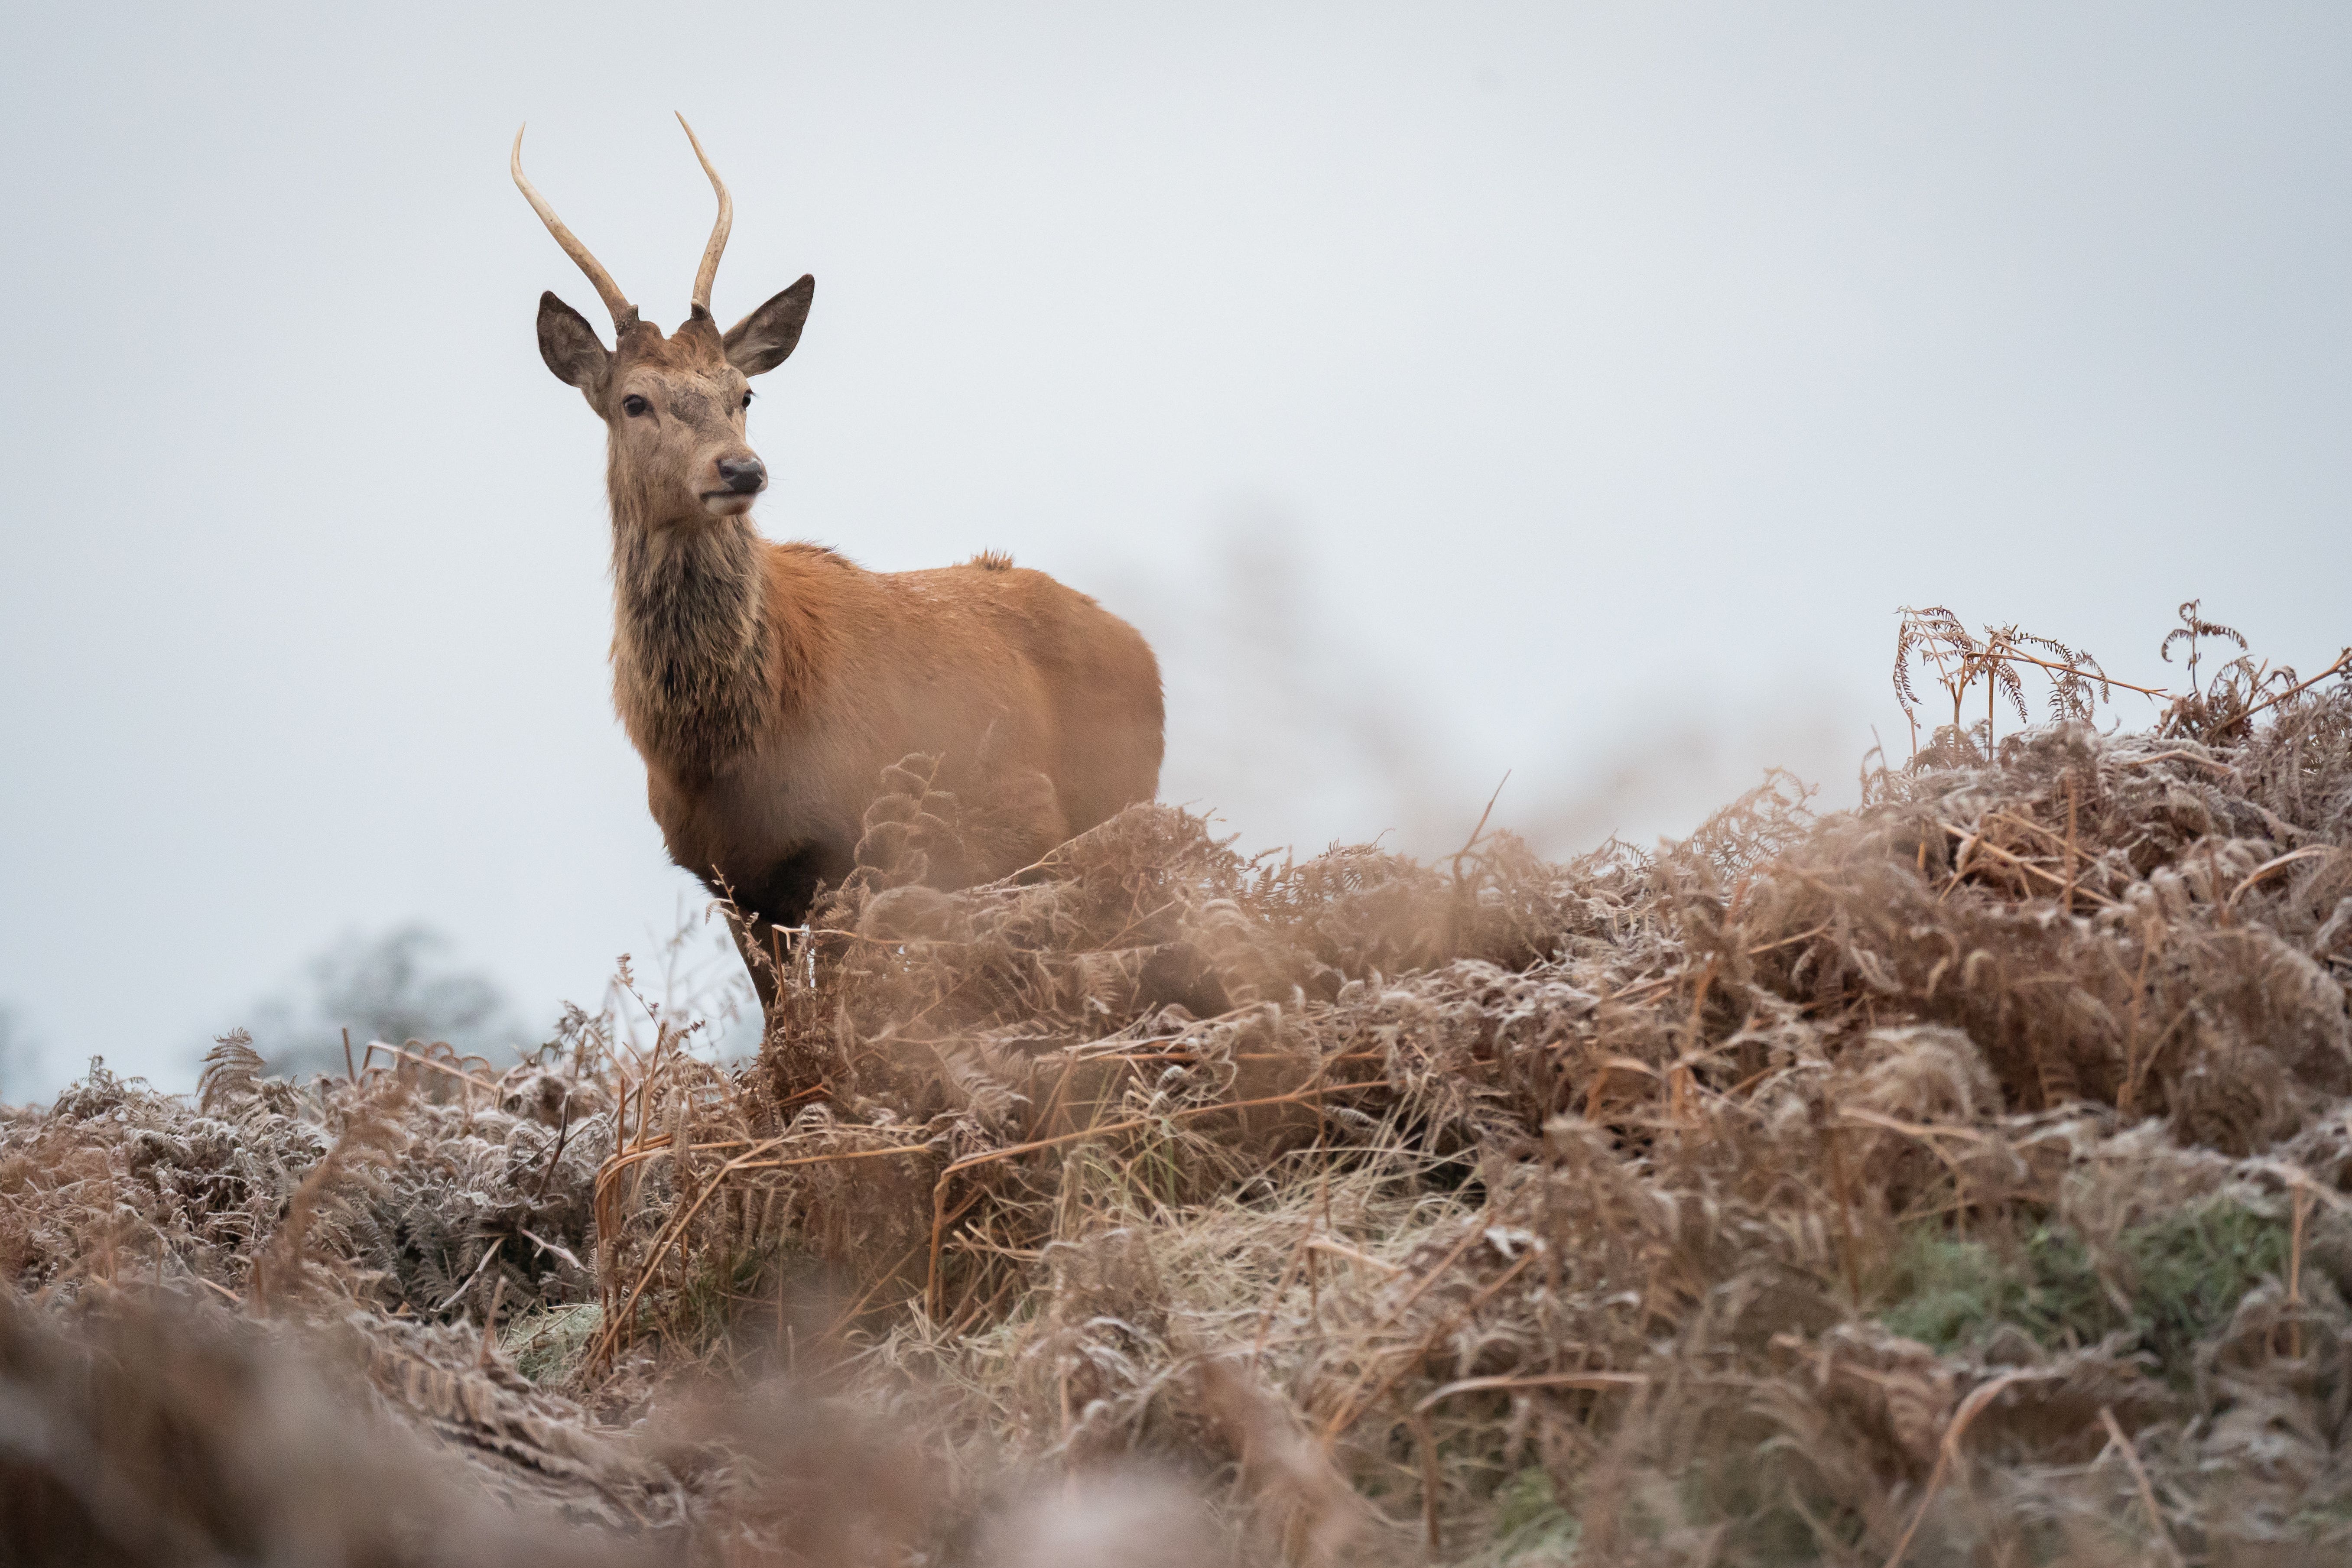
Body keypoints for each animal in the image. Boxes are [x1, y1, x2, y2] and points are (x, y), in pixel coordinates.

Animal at [522, 113, 1166, 1020]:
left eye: (743, 393)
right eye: (633, 400)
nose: (741, 470)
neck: (725, 748)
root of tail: (1145, 651)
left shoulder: (848, 852)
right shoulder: (729, 882)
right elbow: (777, 1026)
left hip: (1113, 809)